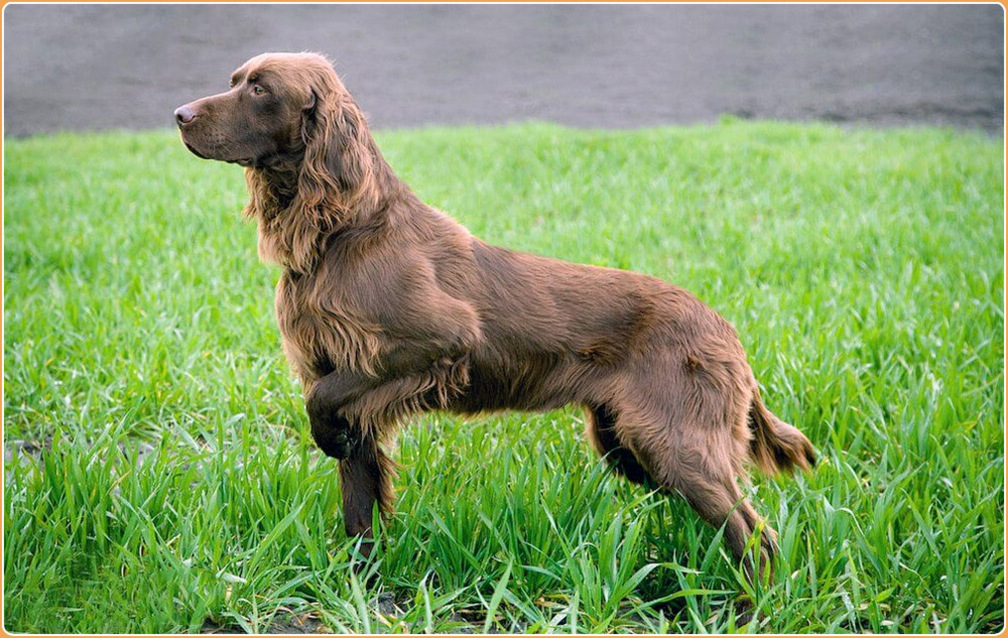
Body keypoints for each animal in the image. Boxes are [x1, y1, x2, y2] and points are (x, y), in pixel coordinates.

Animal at [177, 49, 814, 576]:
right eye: (235, 81)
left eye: (261, 89)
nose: (180, 114)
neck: (341, 231)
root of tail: (725, 329)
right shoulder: (337, 370)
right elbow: (359, 506)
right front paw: (361, 588)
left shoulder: (435, 341)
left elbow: (325, 403)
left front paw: (327, 437)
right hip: (627, 445)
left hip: (673, 442)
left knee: (755, 534)